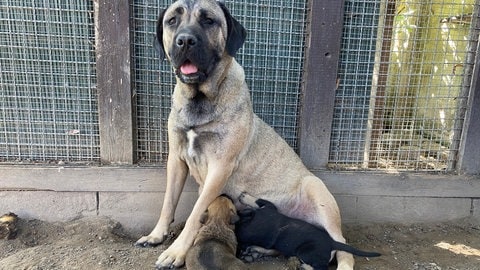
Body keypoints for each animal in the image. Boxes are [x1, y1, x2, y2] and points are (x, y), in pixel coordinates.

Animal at [135, 1, 352, 268]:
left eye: (209, 20)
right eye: (172, 20)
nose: (185, 40)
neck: (200, 99)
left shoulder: (220, 166)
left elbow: (196, 213)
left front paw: (177, 251)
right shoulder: (176, 159)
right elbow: (168, 202)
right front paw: (156, 235)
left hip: (318, 191)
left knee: (342, 250)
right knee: (283, 242)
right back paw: (257, 251)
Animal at [234, 198, 380, 270]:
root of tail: (332, 242)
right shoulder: (269, 208)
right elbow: (260, 201)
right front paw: (245, 196)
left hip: (305, 252)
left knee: (321, 268)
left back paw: (304, 266)